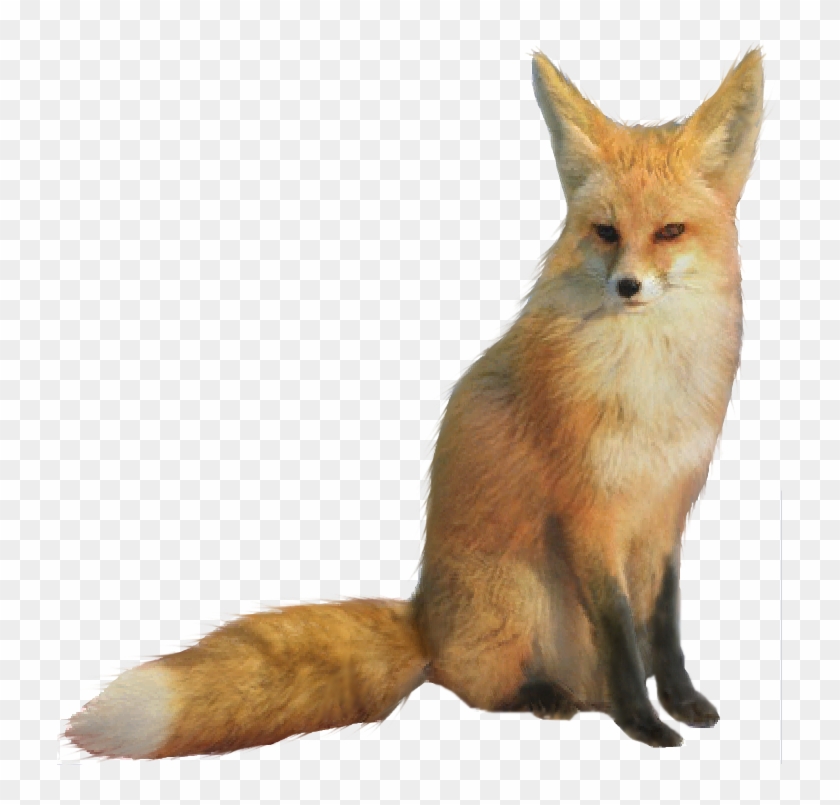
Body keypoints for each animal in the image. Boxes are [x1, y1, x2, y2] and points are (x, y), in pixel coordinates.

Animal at [66, 49, 763, 757]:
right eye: (606, 232)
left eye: (670, 231)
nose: (627, 286)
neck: (648, 383)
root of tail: (423, 619)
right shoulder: (589, 516)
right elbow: (623, 639)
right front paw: (644, 724)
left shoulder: (667, 516)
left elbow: (665, 634)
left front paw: (683, 703)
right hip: (519, 596)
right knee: (467, 682)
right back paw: (545, 695)